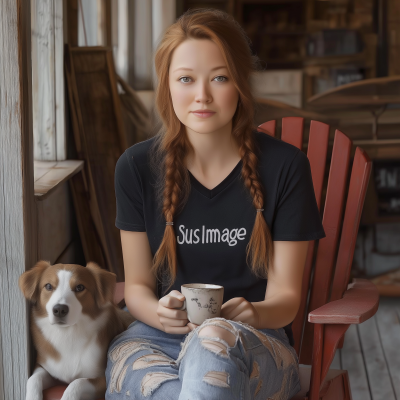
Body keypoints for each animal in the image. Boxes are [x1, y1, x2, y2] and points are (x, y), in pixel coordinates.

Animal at [19, 260, 134, 400]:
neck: (69, 333)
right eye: (48, 286)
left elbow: (76, 383)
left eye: (79, 287)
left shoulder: (104, 381)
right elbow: (33, 379)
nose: (59, 310)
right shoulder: (46, 368)